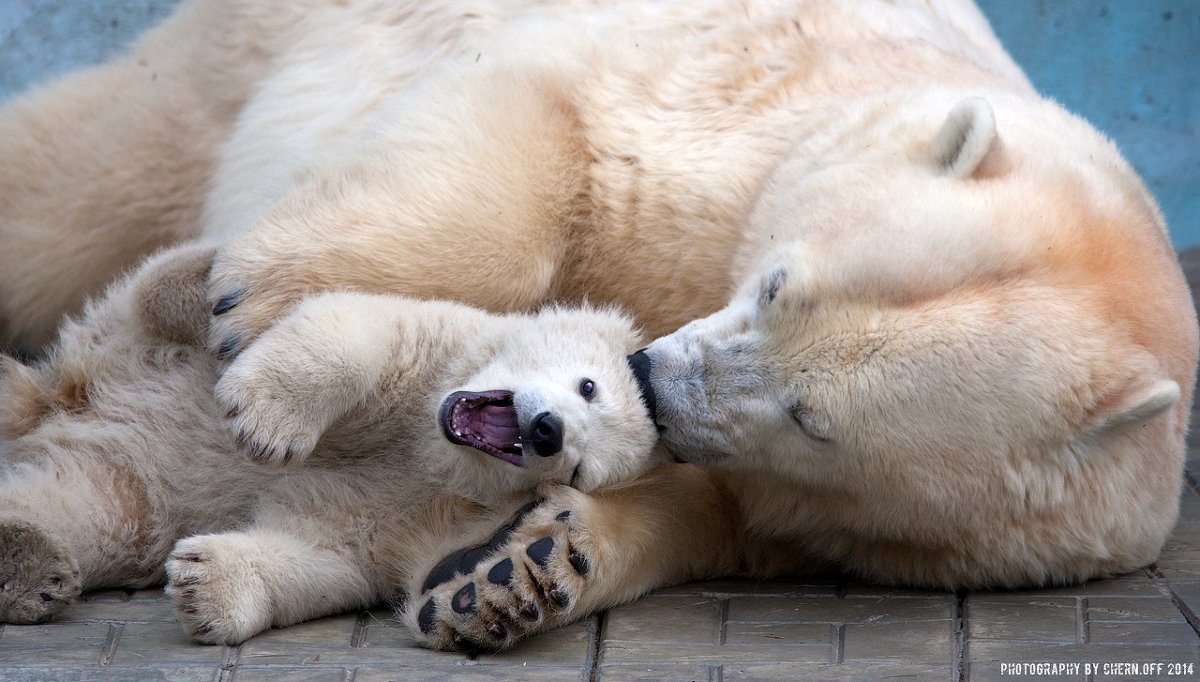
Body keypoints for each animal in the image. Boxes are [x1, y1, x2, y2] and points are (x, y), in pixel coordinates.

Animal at [0, 0, 1195, 648]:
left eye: (815, 417)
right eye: (776, 284)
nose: (655, 374)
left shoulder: (834, 513)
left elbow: (694, 515)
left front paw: (509, 573)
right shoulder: (722, 110)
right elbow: (540, 130)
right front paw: (253, 299)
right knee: (89, 177)